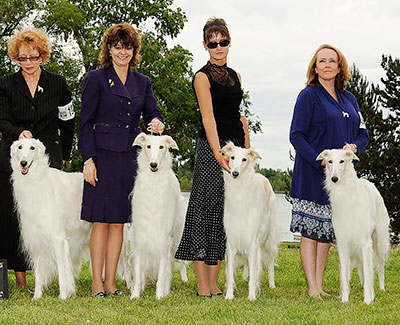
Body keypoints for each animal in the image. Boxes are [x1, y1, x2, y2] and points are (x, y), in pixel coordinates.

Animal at [9, 138, 91, 298]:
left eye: (32, 147)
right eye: (20, 147)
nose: (23, 163)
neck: (36, 181)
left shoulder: (58, 238)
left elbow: (62, 271)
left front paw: (63, 295)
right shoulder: (36, 238)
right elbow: (38, 274)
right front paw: (37, 296)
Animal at [127, 132, 188, 298]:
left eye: (162, 146)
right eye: (148, 146)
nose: (153, 165)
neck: (153, 185)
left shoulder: (164, 239)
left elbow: (162, 273)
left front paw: (160, 295)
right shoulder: (140, 236)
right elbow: (138, 271)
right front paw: (135, 294)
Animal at [220, 142, 280, 298]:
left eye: (244, 159)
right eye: (232, 157)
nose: (235, 173)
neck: (240, 194)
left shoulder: (253, 243)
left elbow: (254, 275)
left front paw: (252, 296)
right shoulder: (232, 242)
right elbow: (230, 274)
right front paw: (229, 296)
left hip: (270, 240)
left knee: (270, 264)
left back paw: (272, 285)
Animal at [318, 148, 390, 306]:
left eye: (342, 161)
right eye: (330, 161)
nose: (334, 179)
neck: (346, 194)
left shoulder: (365, 242)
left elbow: (369, 274)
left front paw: (368, 299)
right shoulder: (343, 243)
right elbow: (345, 277)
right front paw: (345, 299)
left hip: (379, 241)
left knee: (380, 267)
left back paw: (381, 289)